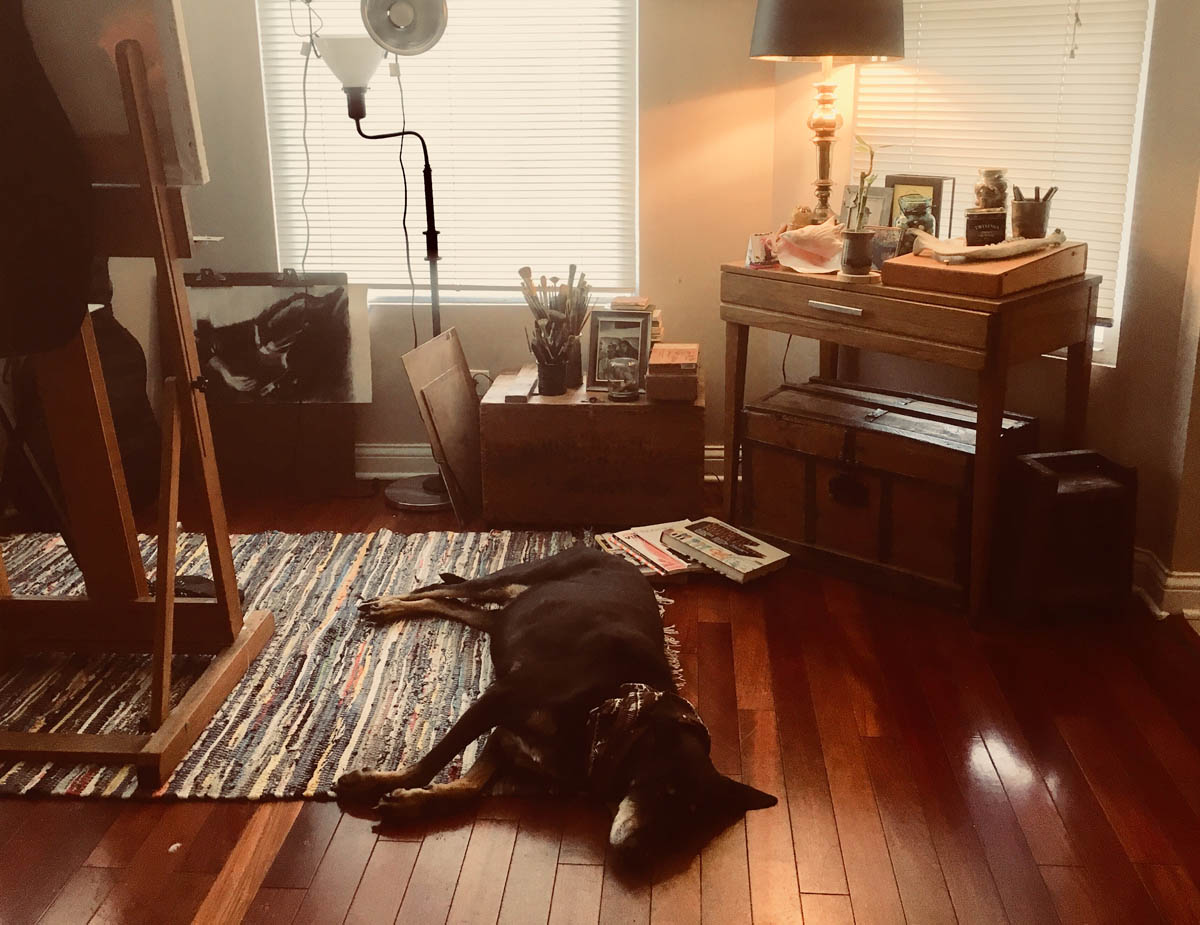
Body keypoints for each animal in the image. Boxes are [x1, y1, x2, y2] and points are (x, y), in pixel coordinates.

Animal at [336, 547, 777, 863]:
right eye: (662, 789)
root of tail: (616, 555)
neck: (610, 705)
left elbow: (468, 789)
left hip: (502, 615)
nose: (638, 856)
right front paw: (372, 783)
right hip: (513, 577)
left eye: (689, 820)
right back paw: (387, 604)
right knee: (438, 590)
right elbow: (432, 760)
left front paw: (412, 802)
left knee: (455, 606)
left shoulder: (509, 737)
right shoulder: (498, 700)